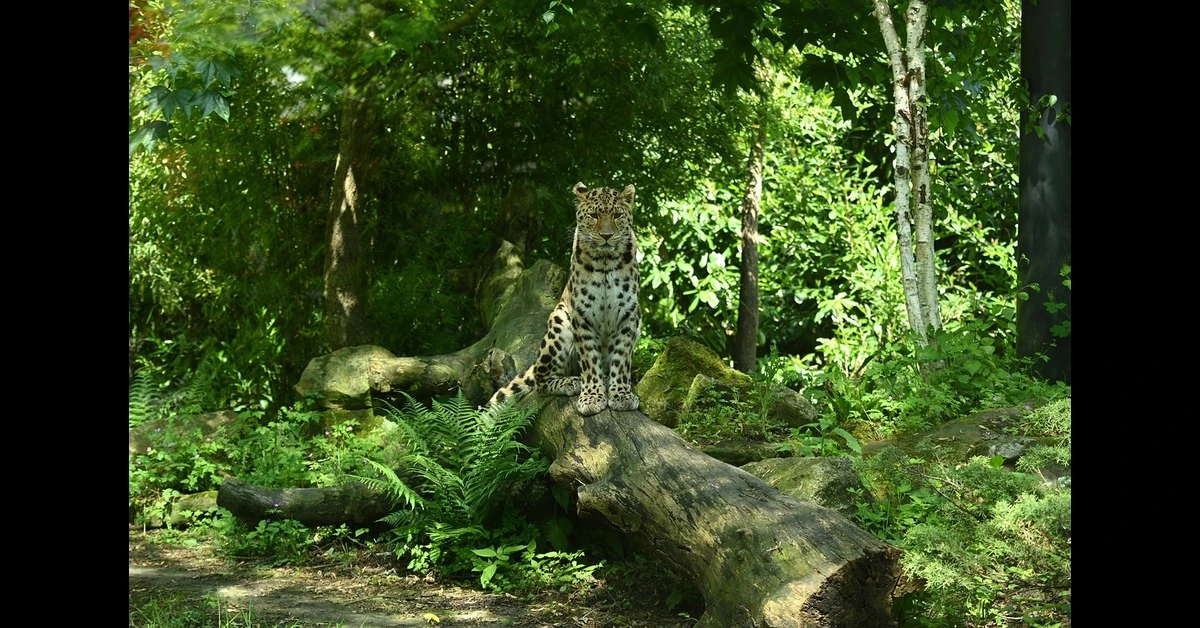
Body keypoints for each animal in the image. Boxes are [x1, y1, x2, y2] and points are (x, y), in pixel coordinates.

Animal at [488, 182, 642, 416]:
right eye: (594, 215)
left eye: (616, 215)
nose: (606, 235)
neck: (605, 261)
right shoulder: (582, 315)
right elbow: (589, 359)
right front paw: (591, 397)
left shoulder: (629, 314)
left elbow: (622, 358)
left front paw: (621, 394)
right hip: (559, 321)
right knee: (541, 381)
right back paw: (571, 382)